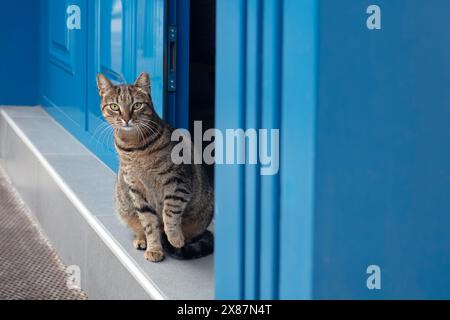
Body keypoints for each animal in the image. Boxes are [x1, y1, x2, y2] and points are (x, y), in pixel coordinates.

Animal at [96, 72, 213, 262]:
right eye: (114, 106)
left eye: (137, 105)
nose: (126, 118)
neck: (134, 147)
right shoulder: (136, 190)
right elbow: (149, 223)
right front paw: (154, 248)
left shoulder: (177, 182)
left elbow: (170, 213)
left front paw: (174, 237)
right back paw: (142, 240)